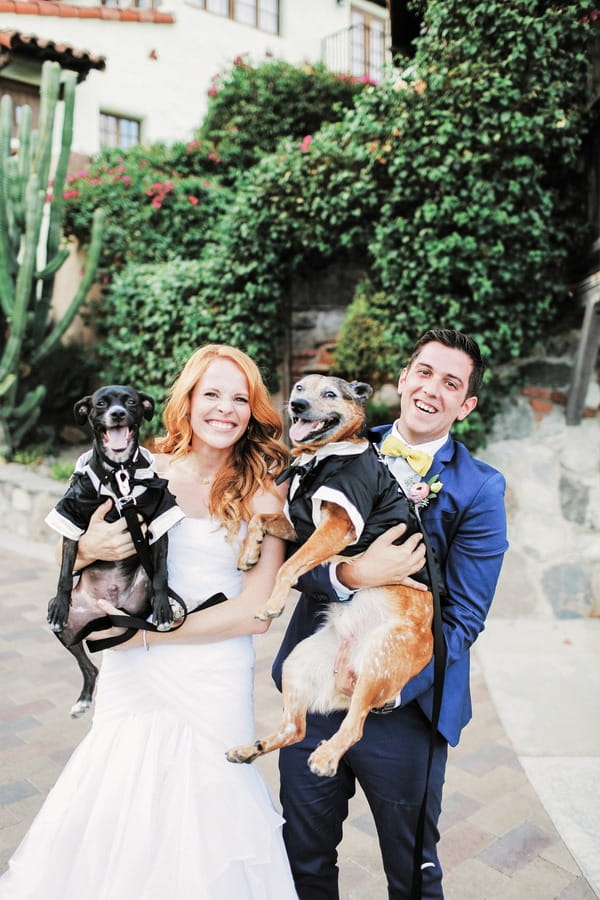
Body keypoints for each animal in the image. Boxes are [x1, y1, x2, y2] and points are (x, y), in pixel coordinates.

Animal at [46, 386, 184, 716]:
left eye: (131, 402)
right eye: (100, 404)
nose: (118, 414)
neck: (120, 474)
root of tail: (109, 612)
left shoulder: (160, 513)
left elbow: (161, 573)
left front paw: (164, 606)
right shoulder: (72, 512)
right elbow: (64, 571)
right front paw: (61, 603)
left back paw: (170, 607)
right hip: (68, 632)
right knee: (89, 666)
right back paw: (84, 698)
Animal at [227, 376, 434, 776]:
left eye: (330, 394)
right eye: (299, 388)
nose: (297, 405)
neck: (319, 458)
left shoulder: (337, 526)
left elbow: (289, 565)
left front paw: (273, 603)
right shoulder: (298, 523)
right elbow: (262, 518)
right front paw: (250, 552)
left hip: (379, 660)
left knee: (354, 726)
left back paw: (325, 757)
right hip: (297, 662)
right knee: (295, 728)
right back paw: (249, 748)